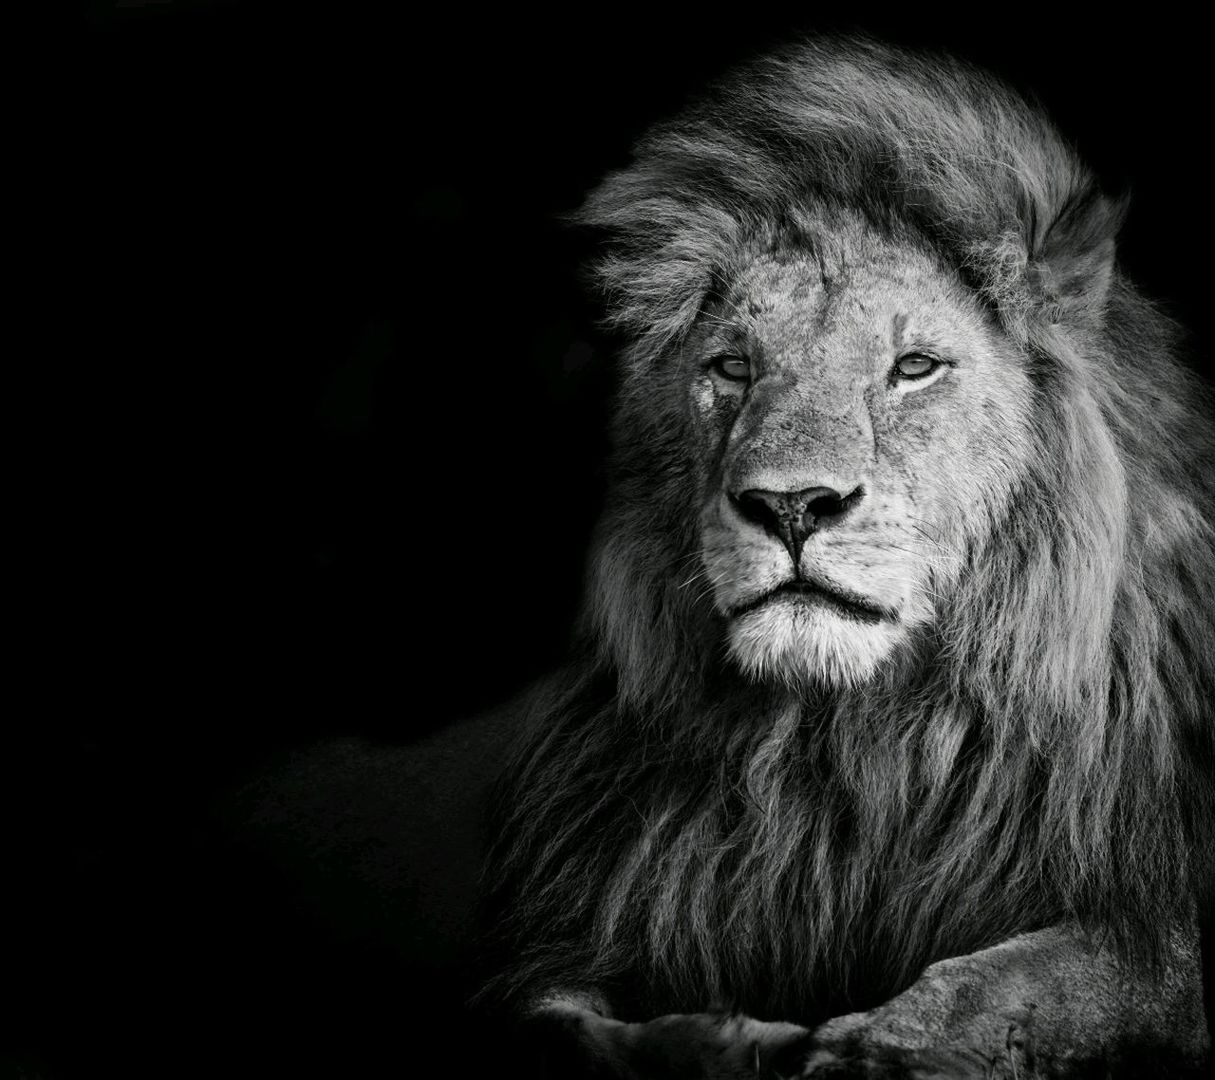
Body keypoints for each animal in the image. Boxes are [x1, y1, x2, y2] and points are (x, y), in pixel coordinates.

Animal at [456, 35, 1215, 1078]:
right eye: (732, 367)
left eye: (913, 368)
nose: (789, 505)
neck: (849, 751)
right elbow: (556, 1028)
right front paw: (722, 1043)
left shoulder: (1149, 925)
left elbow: (1044, 975)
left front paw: (877, 1047)